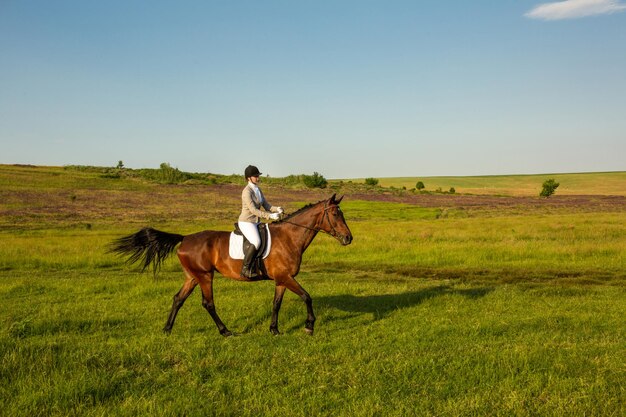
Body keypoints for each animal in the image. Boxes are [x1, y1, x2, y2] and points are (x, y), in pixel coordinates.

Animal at [108, 194, 352, 334]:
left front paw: (274, 330)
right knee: (208, 303)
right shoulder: (286, 277)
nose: (348, 238)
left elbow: (276, 304)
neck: (289, 237)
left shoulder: (282, 279)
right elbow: (307, 297)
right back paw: (224, 331)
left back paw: (167, 329)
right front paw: (309, 326)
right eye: (335, 214)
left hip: (192, 276)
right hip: (205, 276)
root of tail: (184, 238)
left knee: (178, 299)